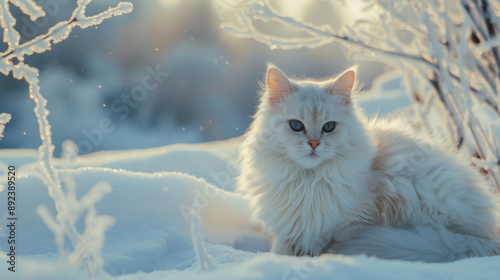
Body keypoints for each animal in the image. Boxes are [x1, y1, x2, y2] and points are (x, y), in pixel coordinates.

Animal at [237, 64, 500, 262]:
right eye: (295, 125)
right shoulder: (290, 233)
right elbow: (282, 249)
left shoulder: (357, 222)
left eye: (329, 127)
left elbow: (328, 238)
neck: (308, 181)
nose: (313, 144)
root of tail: (487, 241)